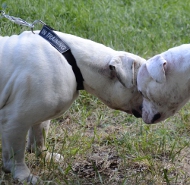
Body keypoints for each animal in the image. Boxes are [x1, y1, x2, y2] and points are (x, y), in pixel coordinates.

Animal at [0, 29, 145, 183]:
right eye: (143, 91)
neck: (75, 63)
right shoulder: (15, 122)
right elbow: (16, 155)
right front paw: (23, 175)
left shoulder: (39, 115)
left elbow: (39, 137)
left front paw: (46, 156)